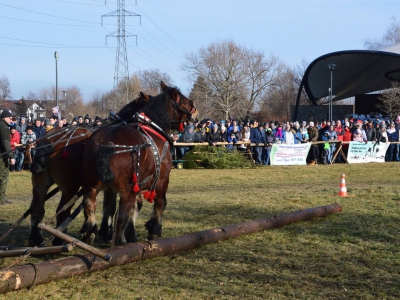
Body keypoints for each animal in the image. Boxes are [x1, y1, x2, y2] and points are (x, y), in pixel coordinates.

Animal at [79, 82, 193, 244]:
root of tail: (106, 144)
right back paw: (120, 242)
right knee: (122, 215)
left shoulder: (112, 189)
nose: (193, 109)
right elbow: (160, 202)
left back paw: (90, 233)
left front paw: (111, 233)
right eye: (183, 101)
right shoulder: (162, 179)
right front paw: (153, 230)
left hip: (91, 187)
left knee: (90, 207)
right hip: (127, 191)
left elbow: (110, 209)